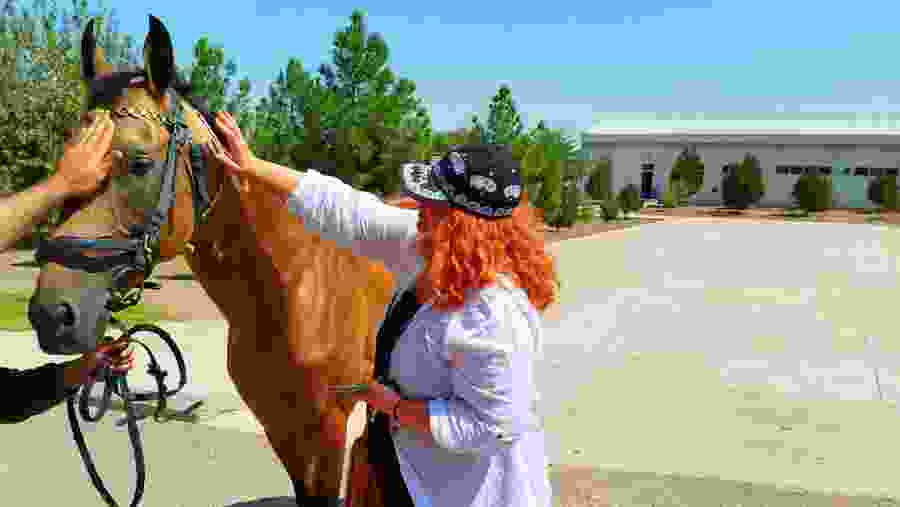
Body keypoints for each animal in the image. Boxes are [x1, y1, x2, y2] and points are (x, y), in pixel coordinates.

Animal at [27, 15, 401, 506]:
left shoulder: (328, 428)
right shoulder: (282, 424)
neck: (297, 280)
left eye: (141, 163)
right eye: (69, 161)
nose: (53, 315)